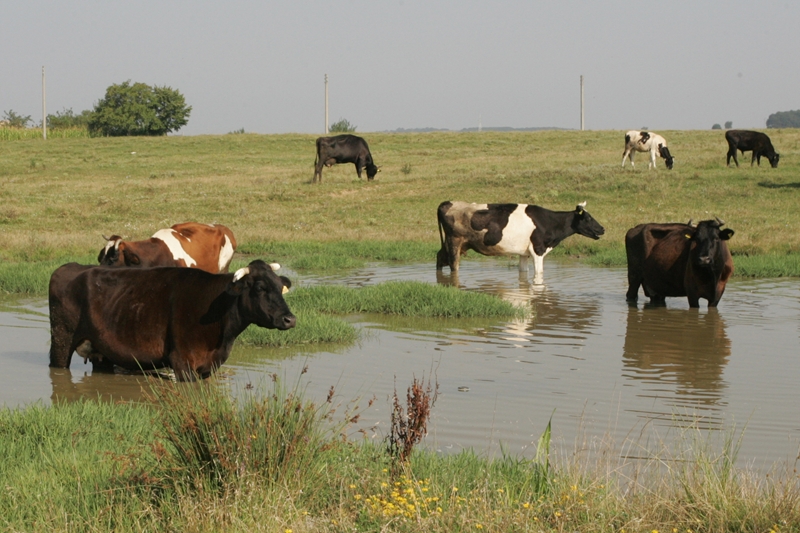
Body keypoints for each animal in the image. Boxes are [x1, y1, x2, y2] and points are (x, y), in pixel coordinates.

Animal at [47, 260, 296, 380]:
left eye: (279, 286)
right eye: (260, 287)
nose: (290, 319)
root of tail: (69, 267)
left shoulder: (207, 367)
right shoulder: (183, 362)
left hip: (102, 350)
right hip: (61, 340)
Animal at [438, 201, 608, 284]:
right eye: (588, 218)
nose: (602, 228)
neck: (548, 222)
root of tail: (448, 202)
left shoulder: (524, 253)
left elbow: (523, 273)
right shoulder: (538, 250)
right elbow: (539, 274)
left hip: (448, 244)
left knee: (439, 258)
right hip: (454, 241)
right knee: (454, 265)